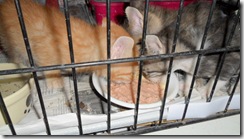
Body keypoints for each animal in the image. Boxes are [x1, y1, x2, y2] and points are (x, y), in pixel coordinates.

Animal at [0, 0, 137, 88]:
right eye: (131, 73)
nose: (131, 83)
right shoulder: (44, 49)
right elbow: (48, 66)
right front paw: (54, 82)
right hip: (10, 41)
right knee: (14, 55)